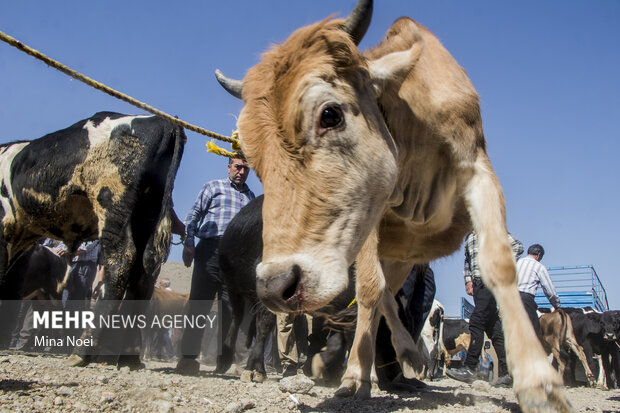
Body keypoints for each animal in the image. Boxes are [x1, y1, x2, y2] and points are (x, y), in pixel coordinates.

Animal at [0, 111, 184, 366]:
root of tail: (164, 121)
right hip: (147, 214)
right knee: (142, 276)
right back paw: (123, 354)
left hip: (112, 204)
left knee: (121, 261)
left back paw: (83, 350)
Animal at [216, 0, 568, 408]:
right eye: (251, 156)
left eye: (330, 114)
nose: (275, 286)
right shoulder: (370, 216)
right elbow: (370, 289)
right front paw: (357, 375)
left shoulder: (478, 170)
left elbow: (498, 263)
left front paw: (539, 383)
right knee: (378, 296)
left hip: (403, 256)